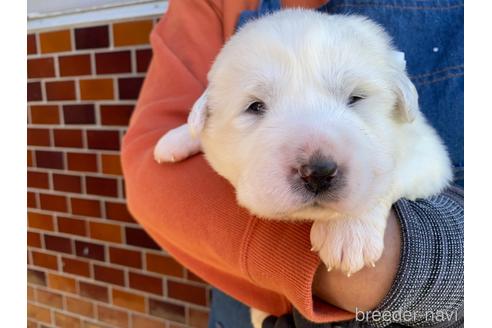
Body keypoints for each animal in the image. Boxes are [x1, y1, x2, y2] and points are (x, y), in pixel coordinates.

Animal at [152, 9, 452, 326]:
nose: (318, 172)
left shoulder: (428, 152)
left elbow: (387, 175)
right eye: (255, 106)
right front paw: (176, 138)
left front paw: (347, 232)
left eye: (355, 98)